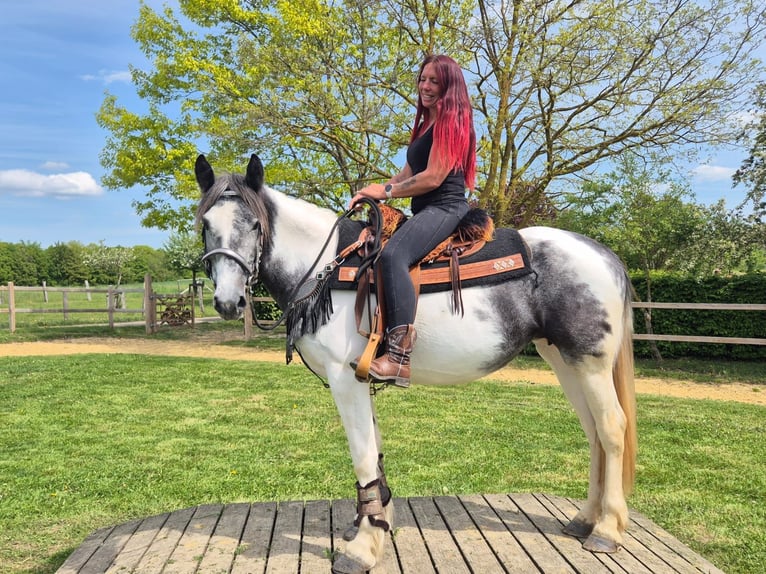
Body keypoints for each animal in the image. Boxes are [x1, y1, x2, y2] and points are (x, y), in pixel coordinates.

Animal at [195, 153, 637, 573]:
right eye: (205, 225)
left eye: (255, 224)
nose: (228, 302)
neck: (327, 269)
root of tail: (604, 255)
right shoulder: (360, 379)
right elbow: (374, 455)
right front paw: (374, 526)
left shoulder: (344, 380)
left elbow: (362, 457)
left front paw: (361, 549)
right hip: (564, 360)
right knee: (594, 433)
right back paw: (584, 519)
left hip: (589, 363)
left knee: (611, 428)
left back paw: (606, 530)